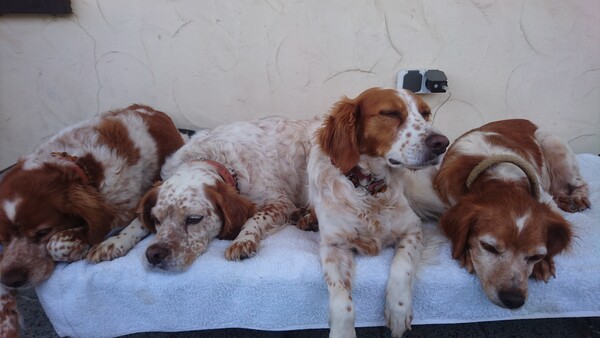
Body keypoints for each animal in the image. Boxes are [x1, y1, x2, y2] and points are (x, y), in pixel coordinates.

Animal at [310, 88, 450, 338]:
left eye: (425, 114)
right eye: (390, 113)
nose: (442, 143)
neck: (369, 191)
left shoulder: (413, 229)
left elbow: (402, 266)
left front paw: (398, 309)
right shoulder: (333, 246)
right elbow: (342, 299)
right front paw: (343, 332)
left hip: (428, 197)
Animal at [434, 119, 588, 308]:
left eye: (536, 256)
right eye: (489, 247)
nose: (513, 300)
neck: (499, 177)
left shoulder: (545, 200)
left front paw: (542, 264)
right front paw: (465, 254)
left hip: (553, 144)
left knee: (578, 183)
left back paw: (576, 198)